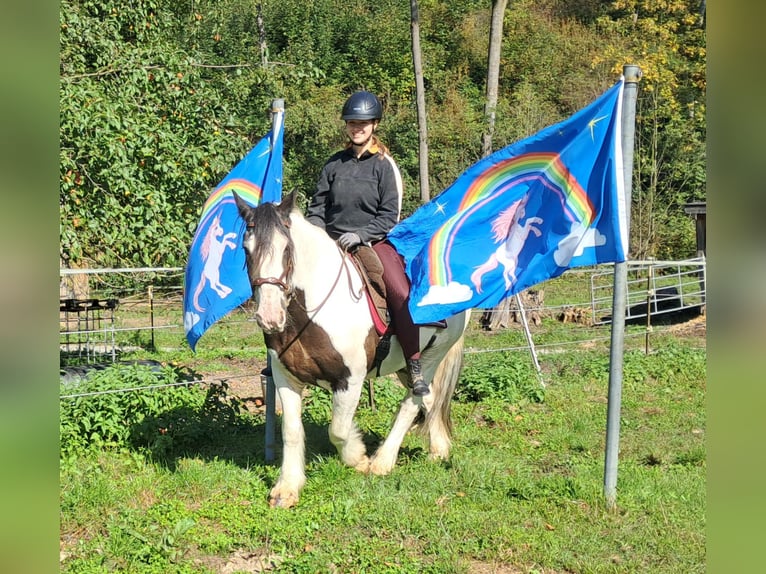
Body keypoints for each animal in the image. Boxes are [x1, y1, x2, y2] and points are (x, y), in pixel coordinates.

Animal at [232, 192, 468, 508]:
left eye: (287, 248)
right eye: (246, 249)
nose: (269, 317)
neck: (313, 311)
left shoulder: (350, 380)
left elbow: (339, 430)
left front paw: (359, 458)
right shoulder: (286, 379)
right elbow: (291, 431)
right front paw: (287, 488)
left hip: (431, 357)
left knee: (413, 402)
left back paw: (382, 462)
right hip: (406, 365)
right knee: (431, 399)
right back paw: (439, 450)